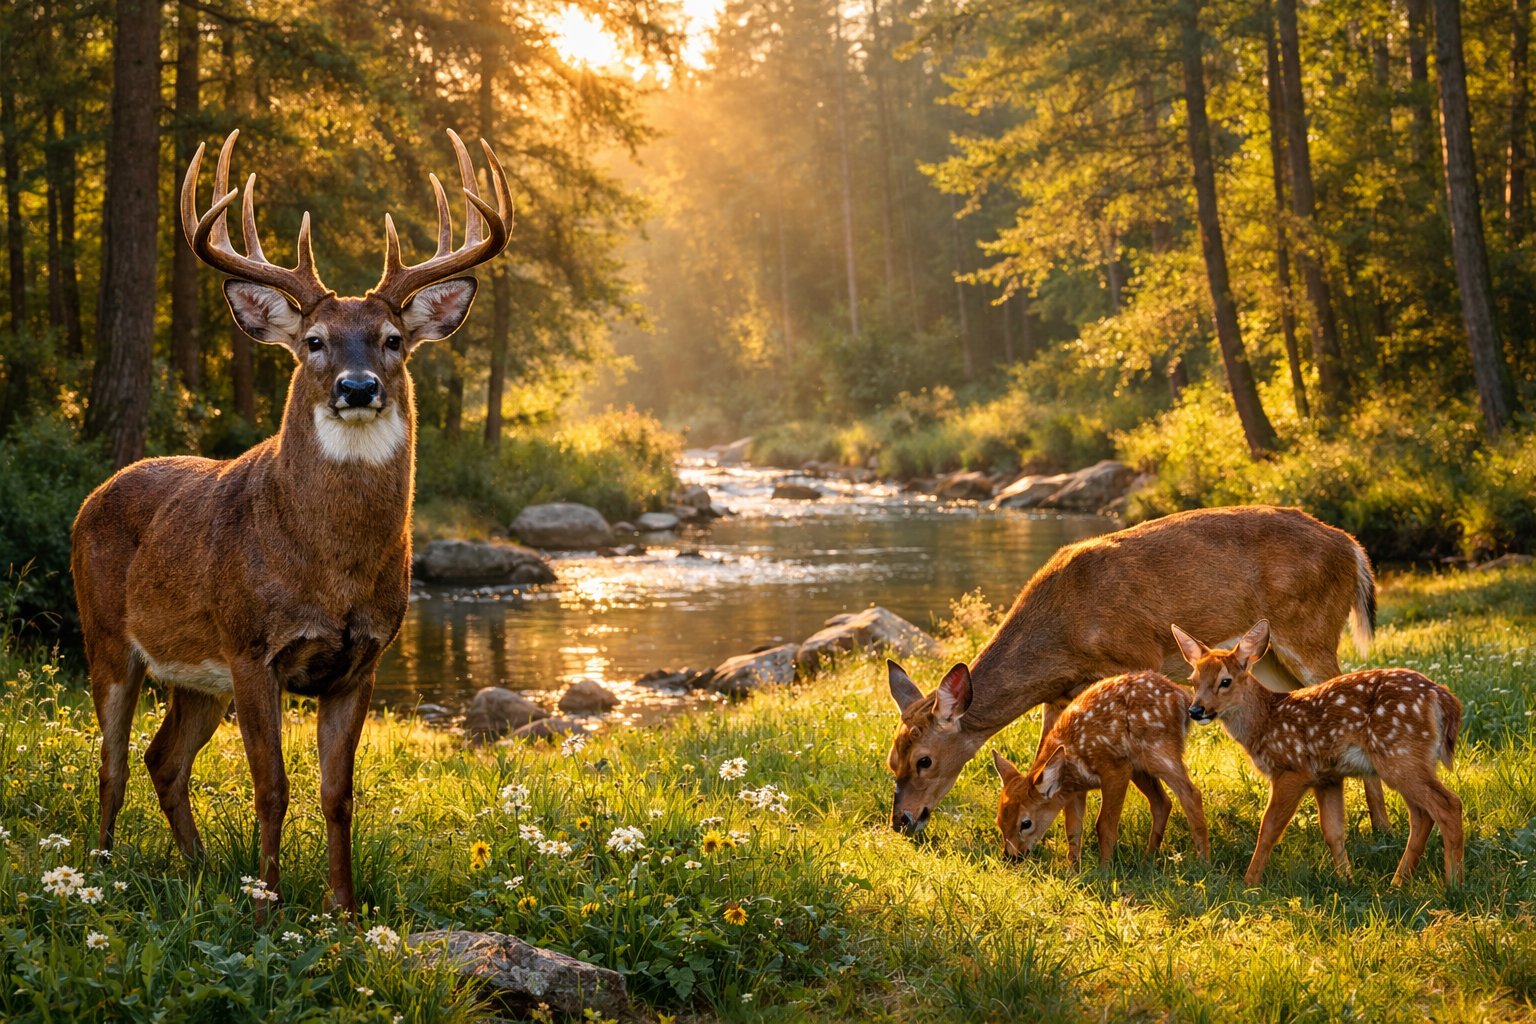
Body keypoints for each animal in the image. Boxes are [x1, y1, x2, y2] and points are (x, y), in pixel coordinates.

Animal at [71, 128, 513, 915]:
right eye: (314, 340)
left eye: (392, 338)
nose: (358, 386)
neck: (329, 569)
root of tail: (95, 495)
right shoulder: (253, 647)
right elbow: (271, 786)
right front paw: (267, 903)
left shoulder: (363, 658)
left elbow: (338, 793)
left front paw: (341, 907)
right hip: (108, 640)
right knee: (112, 760)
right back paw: (104, 869)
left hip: (196, 677)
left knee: (163, 758)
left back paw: (201, 868)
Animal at [885, 505, 1392, 839]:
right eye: (892, 759)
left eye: (923, 759)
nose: (902, 820)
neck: (1063, 636)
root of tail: (1353, 547)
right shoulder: (1061, 694)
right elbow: (1048, 758)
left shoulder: (1139, 655)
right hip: (1267, 658)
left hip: (1311, 631)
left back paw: (1381, 830)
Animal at [991, 670, 1208, 867]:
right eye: (999, 820)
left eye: (1026, 823)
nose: (1011, 857)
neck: (1072, 758)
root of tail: (1183, 698)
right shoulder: (1075, 790)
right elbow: (1073, 829)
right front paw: (1073, 870)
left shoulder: (1115, 769)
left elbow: (1104, 824)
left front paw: (1104, 870)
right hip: (1140, 767)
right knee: (1162, 802)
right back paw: (1148, 859)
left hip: (1160, 750)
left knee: (1191, 794)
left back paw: (1203, 861)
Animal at [1175, 620, 1464, 886]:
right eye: (1193, 681)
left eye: (1225, 681)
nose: (1196, 710)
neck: (1266, 721)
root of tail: (1442, 698)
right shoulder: (1327, 777)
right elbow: (1333, 831)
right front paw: (1346, 879)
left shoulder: (1292, 769)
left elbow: (1268, 828)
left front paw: (1249, 883)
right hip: (1408, 759)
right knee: (1422, 815)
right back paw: (1398, 882)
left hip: (1399, 754)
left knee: (1448, 805)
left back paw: (1453, 884)